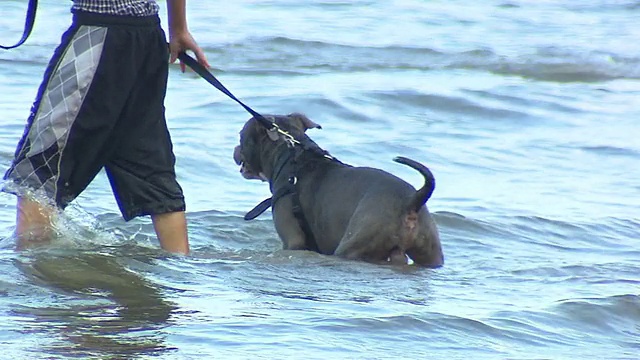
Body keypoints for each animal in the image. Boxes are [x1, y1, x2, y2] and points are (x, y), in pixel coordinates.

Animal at [232, 112, 442, 268]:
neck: (291, 155)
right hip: (430, 252)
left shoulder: (293, 240)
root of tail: (413, 200)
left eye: (241, 136)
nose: (234, 150)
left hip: (355, 243)